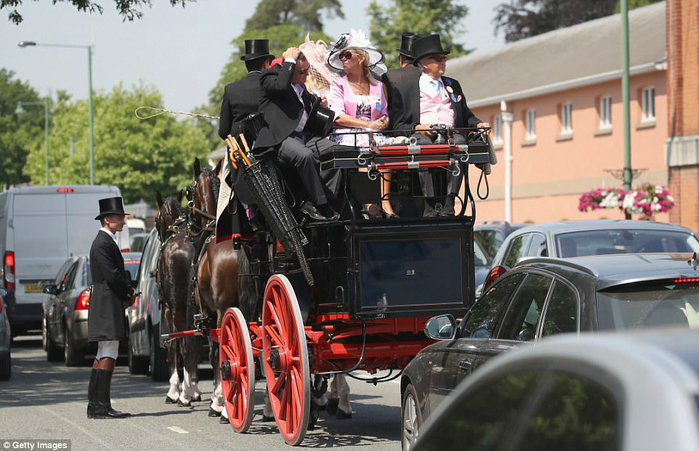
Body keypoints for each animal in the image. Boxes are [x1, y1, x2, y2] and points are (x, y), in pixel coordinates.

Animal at [190, 159, 258, 420]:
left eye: (188, 191)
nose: (189, 222)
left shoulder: (209, 314)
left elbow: (214, 353)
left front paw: (218, 402)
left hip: (222, 311)